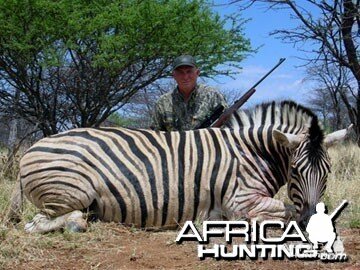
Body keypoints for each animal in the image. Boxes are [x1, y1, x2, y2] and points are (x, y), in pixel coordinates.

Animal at [7, 100, 352, 233]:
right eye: (295, 171)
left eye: (327, 174)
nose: (312, 222)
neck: (252, 153)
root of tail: (28, 152)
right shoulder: (240, 203)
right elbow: (287, 210)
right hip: (70, 192)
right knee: (39, 223)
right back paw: (78, 223)